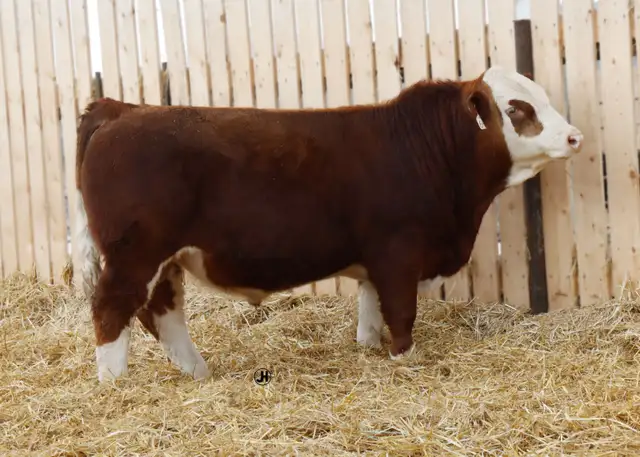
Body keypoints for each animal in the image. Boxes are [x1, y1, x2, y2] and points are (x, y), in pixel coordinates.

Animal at [74, 65, 583, 382]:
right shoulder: (398, 253)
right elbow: (401, 312)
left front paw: (369, 349)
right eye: (516, 108)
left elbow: (370, 310)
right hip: (135, 254)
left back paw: (197, 373)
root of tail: (122, 109)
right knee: (112, 309)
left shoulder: (374, 262)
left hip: (165, 260)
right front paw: (405, 357)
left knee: (163, 312)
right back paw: (114, 382)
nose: (575, 137)